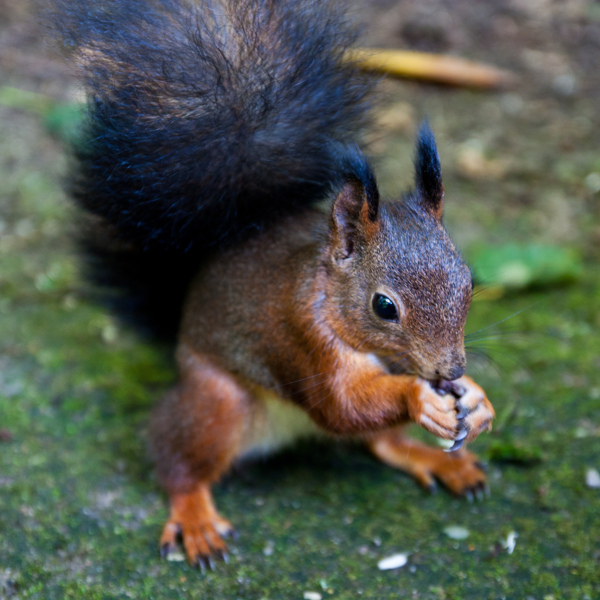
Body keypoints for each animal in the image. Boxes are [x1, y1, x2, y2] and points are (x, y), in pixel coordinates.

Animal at [51, 0, 494, 568]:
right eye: (384, 306)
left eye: (469, 282)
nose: (451, 369)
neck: (329, 296)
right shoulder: (300, 334)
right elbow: (343, 406)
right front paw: (422, 399)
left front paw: (475, 398)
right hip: (217, 402)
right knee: (177, 458)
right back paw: (195, 518)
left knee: (384, 444)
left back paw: (437, 459)